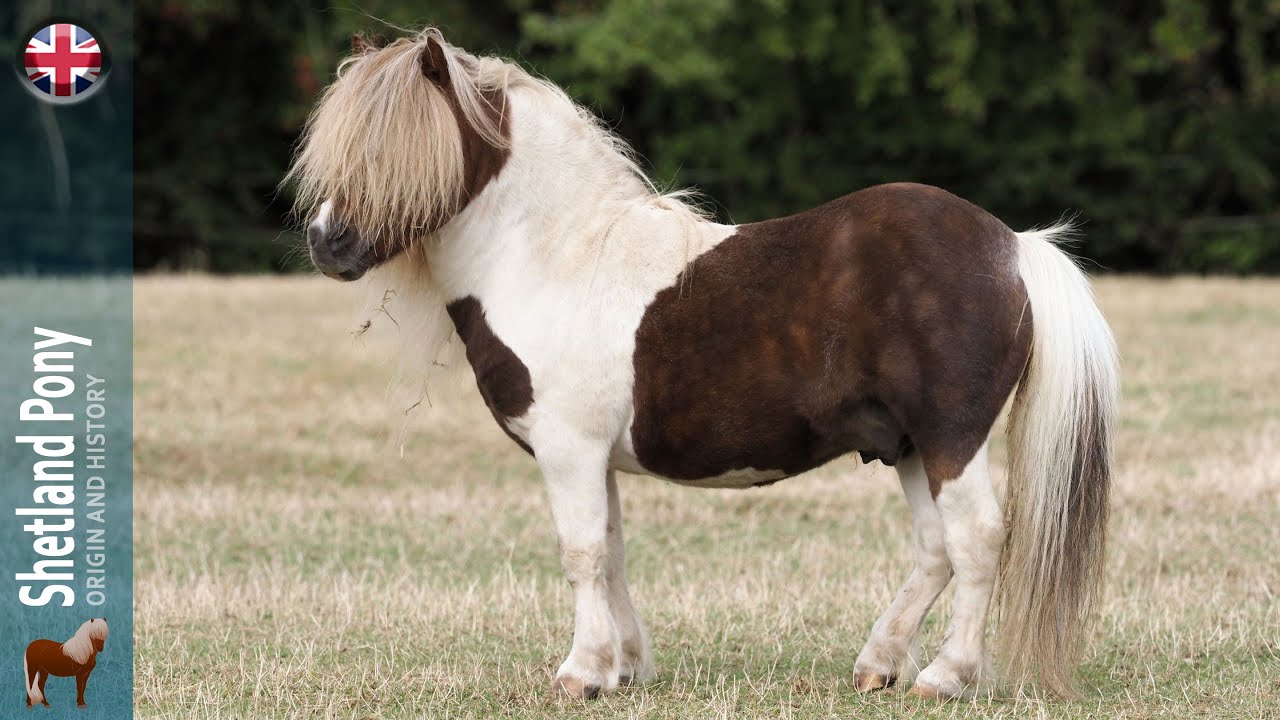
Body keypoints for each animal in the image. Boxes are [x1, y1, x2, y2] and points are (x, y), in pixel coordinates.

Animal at [286, 29, 1119, 701]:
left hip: (951, 439)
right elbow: (612, 555)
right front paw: (623, 667)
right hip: (908, 445)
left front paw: (580, 673)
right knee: (937, 549)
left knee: (976, 539)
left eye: (392, 149)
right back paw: (878, 665)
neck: (556, 258)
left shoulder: (568, 451)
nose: (327, 244)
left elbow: (581, 554)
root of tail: (1012, 245)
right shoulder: (594, 459)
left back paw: (945, 677)